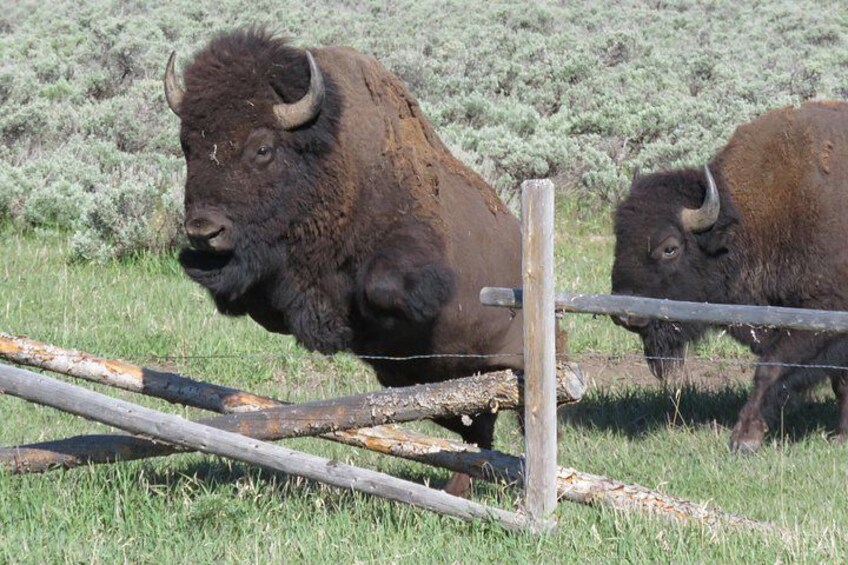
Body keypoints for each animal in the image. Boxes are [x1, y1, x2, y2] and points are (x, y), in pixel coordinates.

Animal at [163, 30, 559, 495]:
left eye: (262, 148)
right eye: (187, 144)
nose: (203, 230)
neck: (334, 161)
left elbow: (383, 287)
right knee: (476, 433)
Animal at [611, 101, 848, 452]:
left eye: (670, 248)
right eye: (619, 237)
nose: (624, 313)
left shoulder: (821, 316)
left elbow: (770, 368)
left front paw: (744, 438)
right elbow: (839, 382)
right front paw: (842, 435)